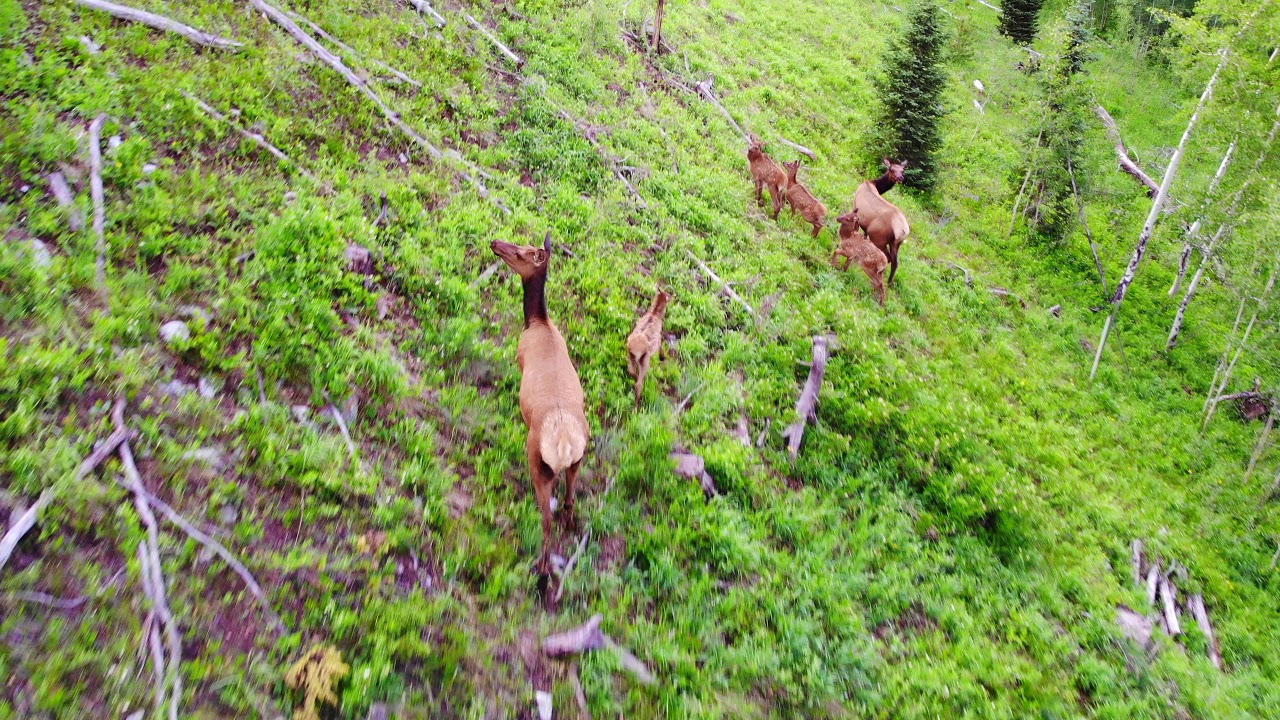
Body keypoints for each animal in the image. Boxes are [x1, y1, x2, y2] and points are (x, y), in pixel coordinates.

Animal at [490, 234, 589, 591]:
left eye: (521, 253)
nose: (495, 242)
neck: (537, 321)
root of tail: (563, 445)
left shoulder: (519, 356)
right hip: (577, 460)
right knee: (571, 498)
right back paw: (571, 526)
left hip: (538, 462)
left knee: (545, 521)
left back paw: (543, 572)